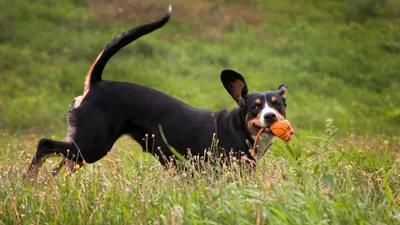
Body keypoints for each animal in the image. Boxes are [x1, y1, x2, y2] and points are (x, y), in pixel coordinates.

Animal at [23, 6, 290, 178]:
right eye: (255, 106)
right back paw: (28, 183)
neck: (239, 128)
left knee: (60, 167)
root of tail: (96, 84)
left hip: (83, 147)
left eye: (277, 104)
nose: (270, 117)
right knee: (45, 145)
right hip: (93, 143)